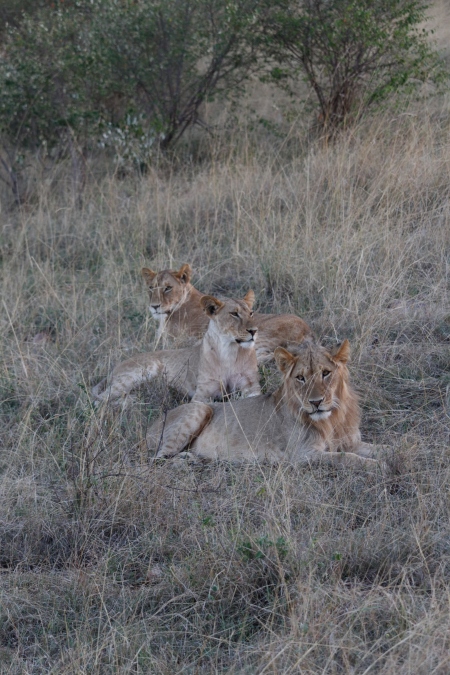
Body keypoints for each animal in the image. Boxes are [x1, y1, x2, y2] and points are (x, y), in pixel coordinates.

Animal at [91, 290, 260, 406]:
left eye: (251, 313)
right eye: (234, 314)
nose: (254, 331)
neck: (230, 350)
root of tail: (114, 368)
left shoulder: (251, 386)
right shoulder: (201, 394)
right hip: (141, 371)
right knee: (99, 400)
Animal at [148, 340, 380, 468]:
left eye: (326, 373)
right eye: (300, 378)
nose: (316, 403)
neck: (332, 418)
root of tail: (152, 425)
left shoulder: (351, 441)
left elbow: (378, 449)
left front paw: (386, 457)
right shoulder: (303, 455)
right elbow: (346, 458)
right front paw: (376, 466)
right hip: (200, 408)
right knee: (156, 460)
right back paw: (187, 462)